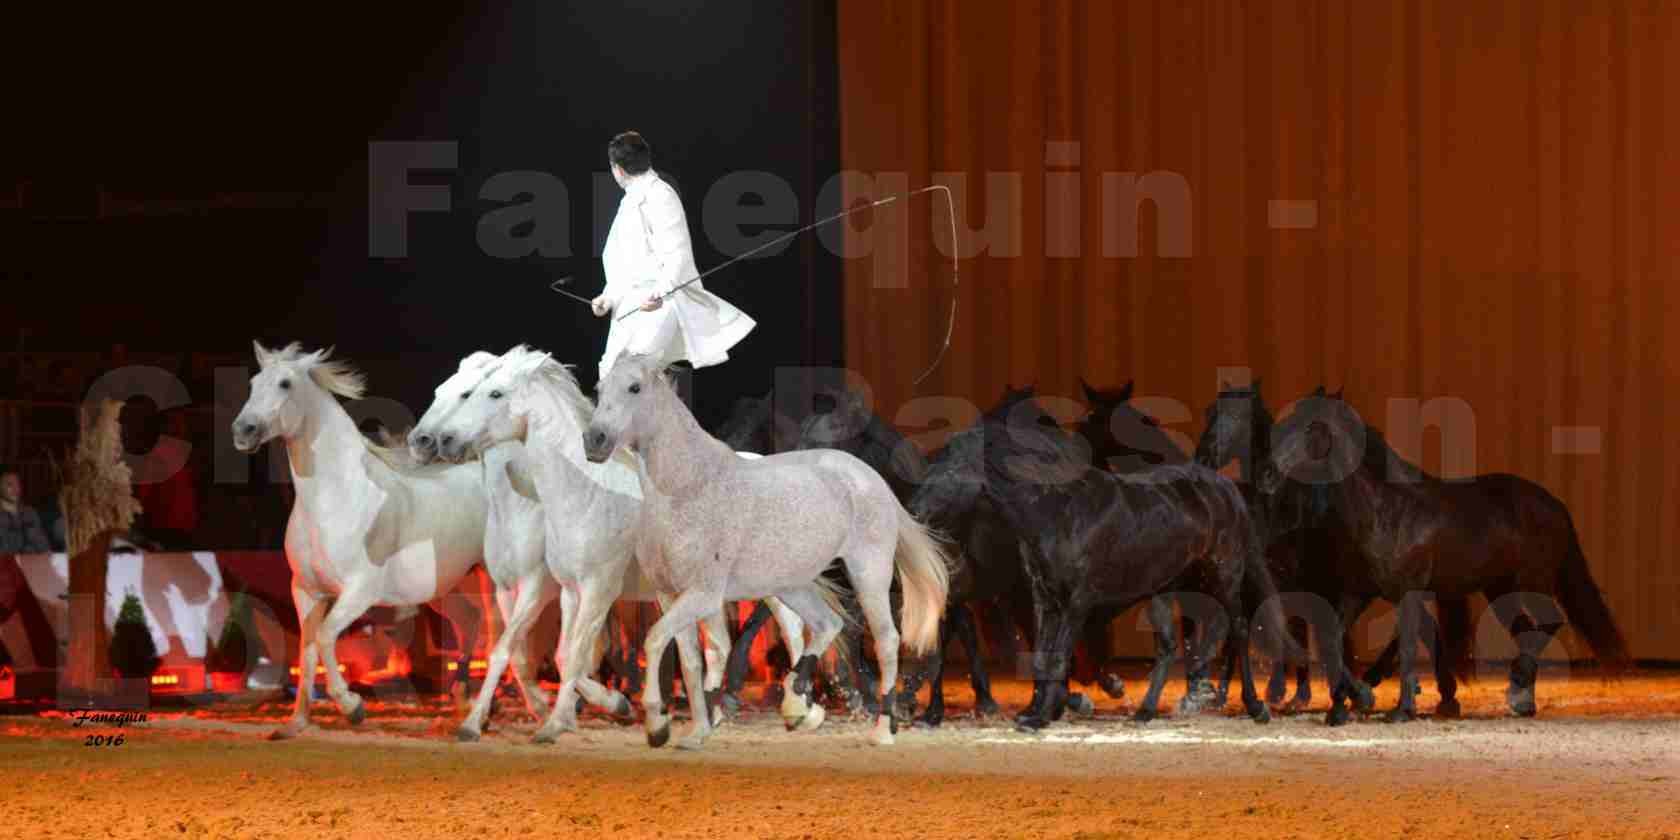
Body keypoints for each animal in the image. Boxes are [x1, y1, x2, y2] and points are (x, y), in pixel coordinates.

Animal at [231, 339, 524, 735]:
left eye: (285, 384)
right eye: (254, 383)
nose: (243, 430)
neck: (335, 499)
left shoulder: (359, 591)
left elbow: (325, 637)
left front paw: (352, 706)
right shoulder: (306, 591)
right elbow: (307, 650)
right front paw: (296, 723)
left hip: (490, 577)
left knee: (497, 632)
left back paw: (488, 712)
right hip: (445, 585)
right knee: (469, 624)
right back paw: (466, 698)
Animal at [399, 342, 806, 742]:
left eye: (488, 393)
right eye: (441, 391)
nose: (432, 441)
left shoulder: (580, 589)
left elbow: (566, 654)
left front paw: (563, 719)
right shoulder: (544, 590)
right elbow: (544, 655)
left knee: (790, 628)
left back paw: (798, 711)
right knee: (720, 644)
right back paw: (716, 714)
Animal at [584, 351, 954, 745]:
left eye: (635, 387)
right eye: (600, 388)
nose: (593, 440)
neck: (687, 488)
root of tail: (872, 479)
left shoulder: (703, 594)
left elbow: (657, 641)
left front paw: (657, 725)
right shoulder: (670, 596)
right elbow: (690, 660)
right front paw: (694, 731)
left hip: (869, 574)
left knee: (885, 640)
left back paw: (883, 728)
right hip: (792, 585)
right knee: (827, 623)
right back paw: (796, 699)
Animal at [981, 406, 1290, 729]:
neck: (1061, 511)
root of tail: (1226, 488)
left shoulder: (1079, 601)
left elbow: (1059, 658)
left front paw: (1041, 716)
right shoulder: (1045, 599)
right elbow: (1043, 657)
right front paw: (1036, 712)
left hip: (1222, 574)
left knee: (1237, 627)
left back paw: (1254, 706)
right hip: (1163, 589)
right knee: (1169, 644)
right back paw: (1146, 710)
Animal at [1263, 386, 1632, 722]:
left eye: (1311, 427)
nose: (1267, 476)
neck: (1387, 511)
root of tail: (1554, 505)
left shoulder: (1408, 592)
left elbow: (1408, 644)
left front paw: (1400, 709)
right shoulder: (1359, 592)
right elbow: (1333, 640)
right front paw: (1347, 704)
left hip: (1530, 583)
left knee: (1548, 622)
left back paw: (1517, 690)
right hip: (1500, 590)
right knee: (1526, 628)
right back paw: (1522, 699)